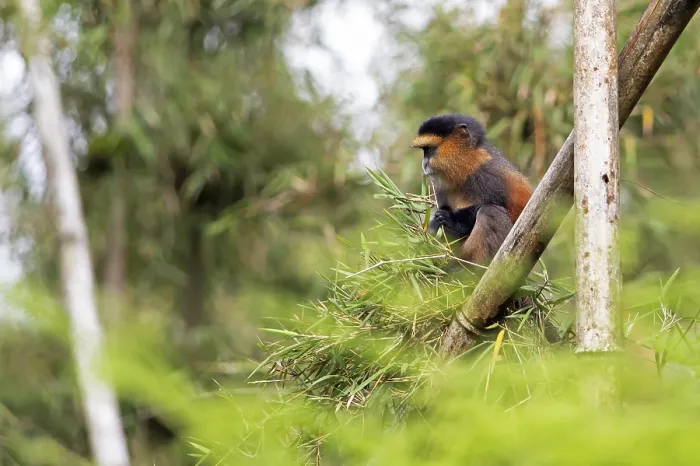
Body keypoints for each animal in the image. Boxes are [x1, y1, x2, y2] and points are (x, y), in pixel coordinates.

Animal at [412, 113, 533, 266]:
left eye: (429, 150)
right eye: (424, 151)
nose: (424, 164)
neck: (467, 167)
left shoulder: (489, 175)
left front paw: (449, 220)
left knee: (489, 212)